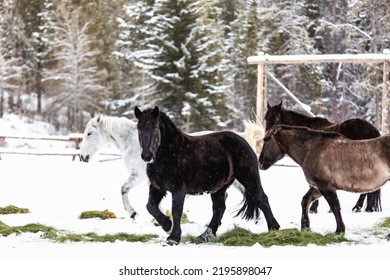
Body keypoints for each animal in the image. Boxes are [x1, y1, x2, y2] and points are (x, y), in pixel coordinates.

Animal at [77, 115, 264, 220]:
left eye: (89, 133)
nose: (82, 157)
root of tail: (242, 138)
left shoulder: (139, 176)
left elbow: (123, 190)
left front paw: (134, 214)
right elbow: (154, 203)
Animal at [135, 106, 280, 244]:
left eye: (155, 128)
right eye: (139, 128)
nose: (147, 156)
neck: (170, 153)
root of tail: (244, 140)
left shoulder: (179, 190)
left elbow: (176, 211)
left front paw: (173, 237)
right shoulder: (157, 187)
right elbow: (150, 206)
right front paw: (167, 226)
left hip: (249, 177)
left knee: (261, 199)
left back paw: (274, 228)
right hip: (219, 187)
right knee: (219, 209)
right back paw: (205, 236)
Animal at [258, 126, 390, 233]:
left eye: (266, 139)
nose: (260, 163)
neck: (312, 148)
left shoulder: (325, 186)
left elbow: (335, 206)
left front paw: (339, 230)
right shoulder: (317, 187)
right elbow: (305, 200)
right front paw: (305, 227)